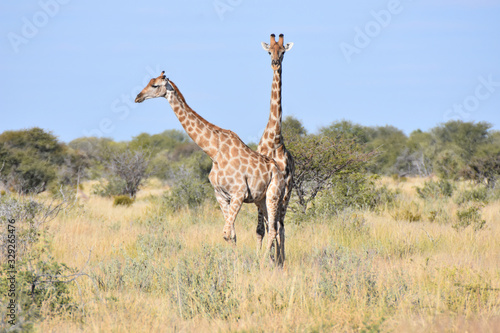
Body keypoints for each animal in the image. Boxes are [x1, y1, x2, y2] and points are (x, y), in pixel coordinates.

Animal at [135, 73, 286, 264]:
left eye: (155, 85)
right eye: (148, 82)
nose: (138, 97)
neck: (214, 152)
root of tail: (278, 170)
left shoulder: (239, 193)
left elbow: (227, 233)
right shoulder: (221, 195)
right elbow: (231, 235)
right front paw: (233, 262)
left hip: (274, 195)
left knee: (274, 229)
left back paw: (265, 262)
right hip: (261, 199)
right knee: (272, 228)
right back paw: (275, 261)